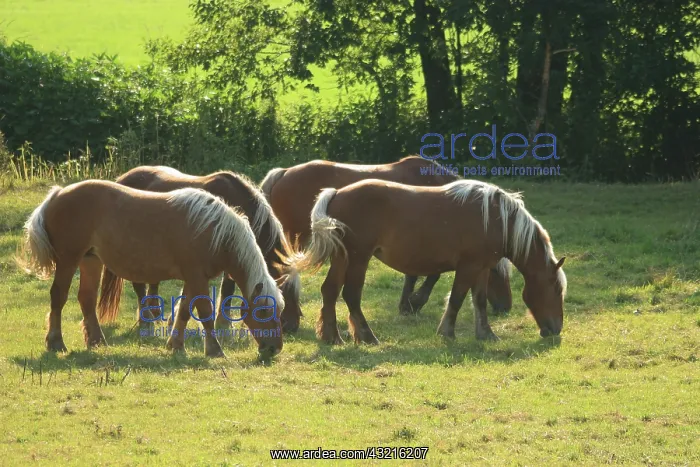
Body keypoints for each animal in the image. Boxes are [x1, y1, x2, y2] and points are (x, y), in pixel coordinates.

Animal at [17, 180, 285, 358]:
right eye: (263, 311)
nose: (275, 348)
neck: (214, 231)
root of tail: (57, 194)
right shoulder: (197, 277)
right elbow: (205, 311)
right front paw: (214, 349)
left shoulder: (193, 279)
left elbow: (185, 311)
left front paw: (176, 345)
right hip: (68, 260)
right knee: (58, 297)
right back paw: (56, 343)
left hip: (90, 261)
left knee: (87, 299)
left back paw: (96, 342)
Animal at [96, 166, 301, 334]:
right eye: (286, 291)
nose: (291, 327)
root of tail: (121, 179)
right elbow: (227, 288)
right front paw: (222, 324)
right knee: (139, 285)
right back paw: (146, 322)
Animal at [260, 156, 513, 332]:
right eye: (497, 273)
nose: (506, 307)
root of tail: (283, 173)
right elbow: (429, 275)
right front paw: (413, 303)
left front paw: (407, 304)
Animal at [283, 179, 566, 345]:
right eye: (556, 288)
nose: (555, 330)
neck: (496, 219)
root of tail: (336, 193)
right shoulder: (469, 267)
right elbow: (457, 298)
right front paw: (447, 332)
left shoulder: (482, 268)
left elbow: (479, 301)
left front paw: (486, 334)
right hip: (357, 258)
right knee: (351, 295)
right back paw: (367, 336)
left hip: (342, 258)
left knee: (330, 292)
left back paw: (332, 337)